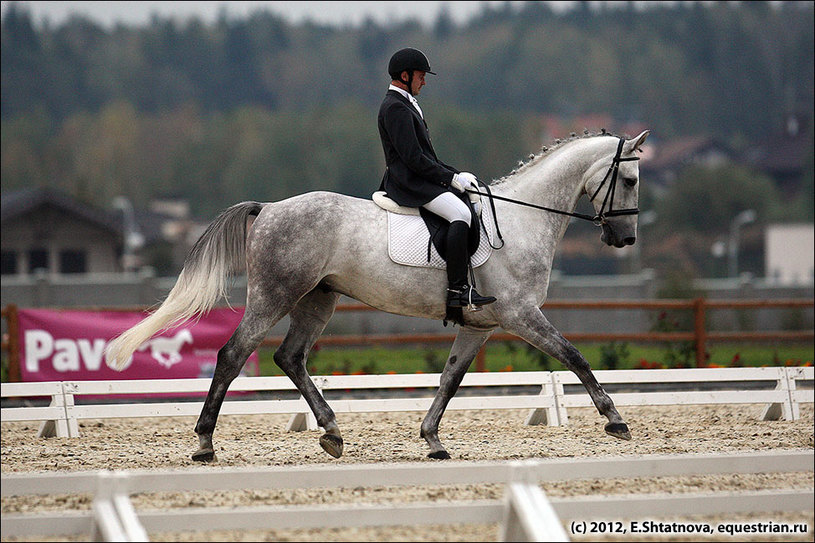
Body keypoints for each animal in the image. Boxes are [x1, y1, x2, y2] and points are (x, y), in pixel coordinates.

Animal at [105, 131, 652, 464]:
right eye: (629, 179)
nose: (625, 239)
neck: (522, 219)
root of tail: (269, 208)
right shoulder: (520, 314)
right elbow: (574, 356)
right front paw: (615, 420)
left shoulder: (481, 325)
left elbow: (450, 379)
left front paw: (432, 440)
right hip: (275, 295)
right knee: (233, 354)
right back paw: (204, 443)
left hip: (316, 300)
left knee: (290, 357)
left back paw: (331, 432)